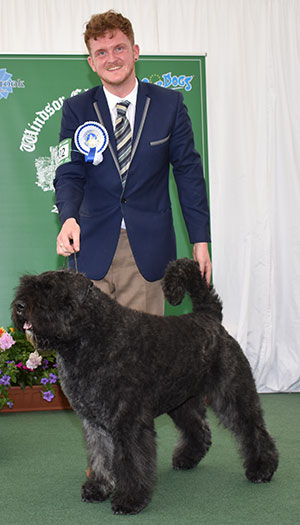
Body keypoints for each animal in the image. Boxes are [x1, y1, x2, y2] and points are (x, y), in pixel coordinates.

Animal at [11, 260, 278, 512]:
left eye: (49, 290)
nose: (20, 306)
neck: (92, 335)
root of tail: (210, 317)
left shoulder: (129, 421)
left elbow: (132, 460)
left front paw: (130, 500)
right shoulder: (94, 422)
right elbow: (100, 455)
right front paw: (98, 488)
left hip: (231, 394)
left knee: (252, 428)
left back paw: (262, 469)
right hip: (182, 403)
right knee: (199, 429)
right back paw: (187, 459)